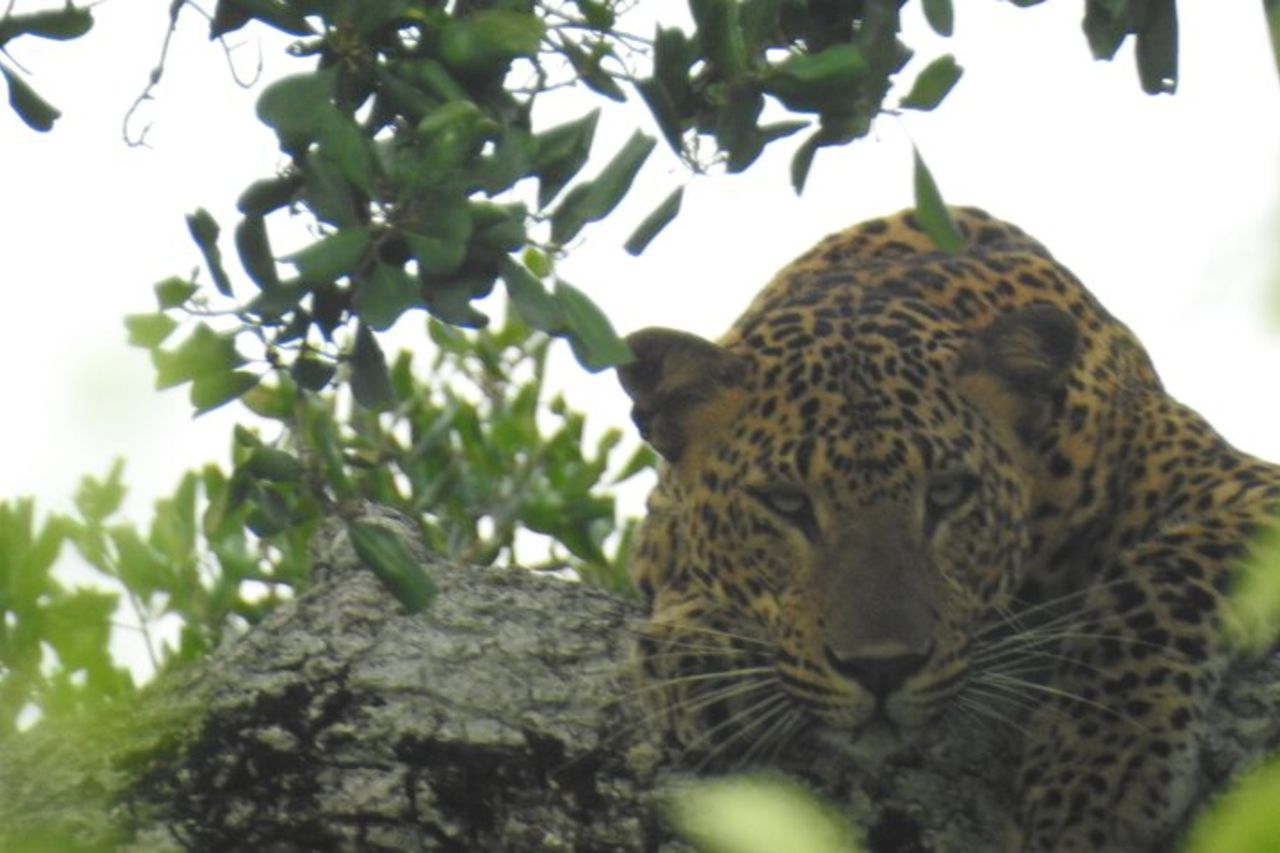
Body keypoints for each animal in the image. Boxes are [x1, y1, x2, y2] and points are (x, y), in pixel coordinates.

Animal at [614, 207, 1280, 851]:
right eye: (786, 503)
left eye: (948, 493)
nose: (882, 669)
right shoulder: (661, 522)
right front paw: (700, 653)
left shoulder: (1242, 486)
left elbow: (1156, 584)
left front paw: (1099, 767)